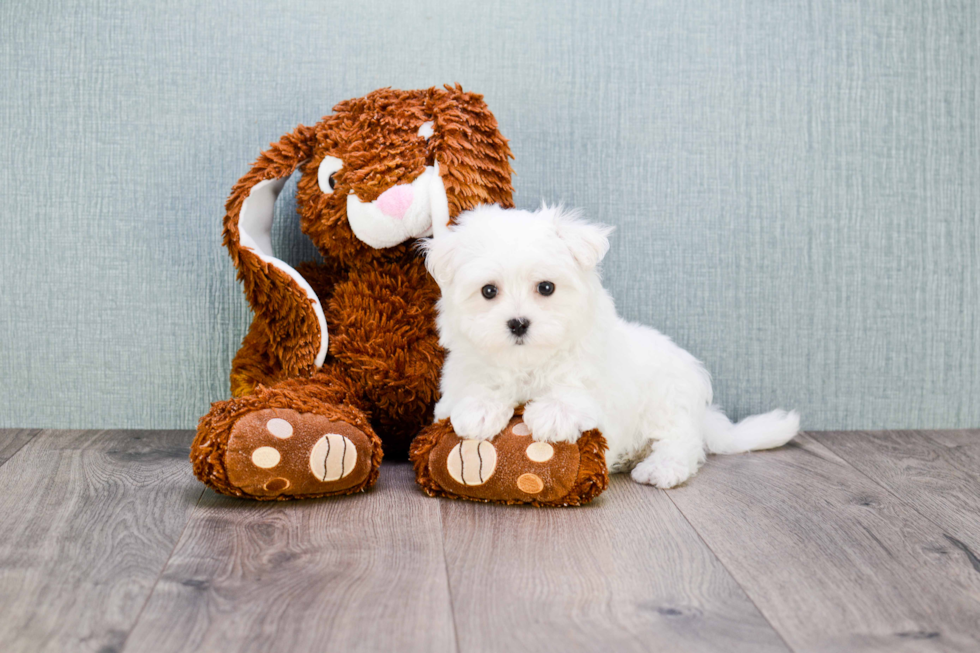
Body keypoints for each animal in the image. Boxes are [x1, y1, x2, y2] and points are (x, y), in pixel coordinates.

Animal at [424, 206, 800, 486]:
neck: (529, 361)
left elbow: (575, 387)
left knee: (682, 443)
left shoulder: (595, 375)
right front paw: (480, 408)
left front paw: (553, 413)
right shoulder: (465, 367)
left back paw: (660, 468)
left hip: (668, 402)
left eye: (546, 287)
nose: (518, 323)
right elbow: (476, 384)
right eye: (488, 291)